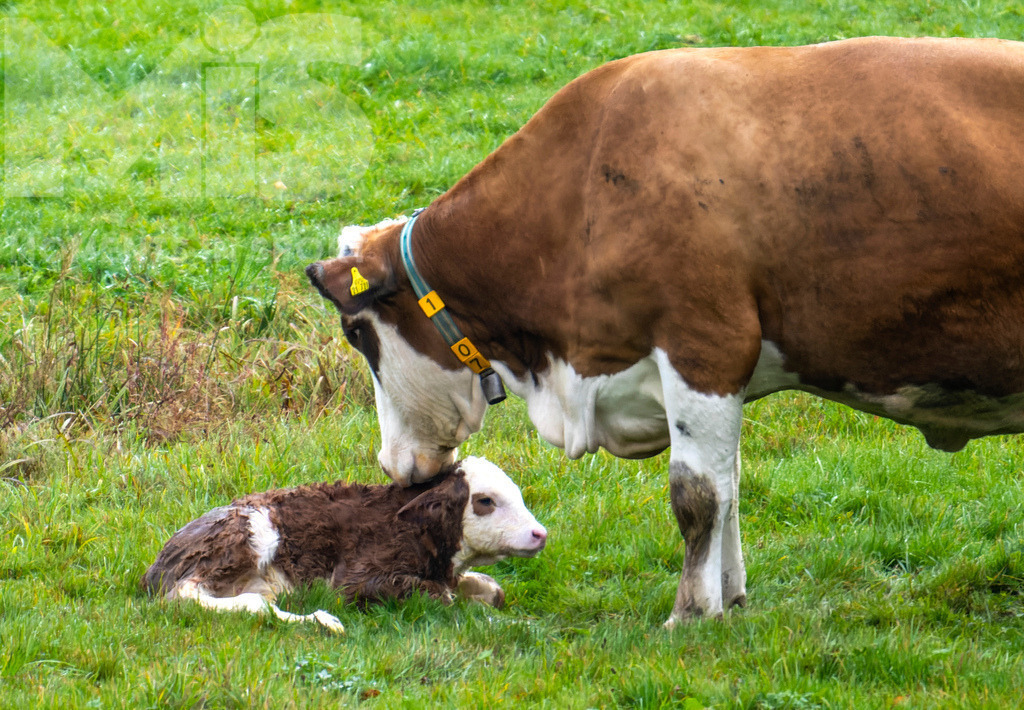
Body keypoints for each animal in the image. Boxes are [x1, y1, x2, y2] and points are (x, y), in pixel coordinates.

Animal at [305, 36, 1024, 626]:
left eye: (356, 335)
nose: (390, 465)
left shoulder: (705, 346)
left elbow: (697, 494)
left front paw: (691, 613)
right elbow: (730, 485)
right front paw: (731, 598)